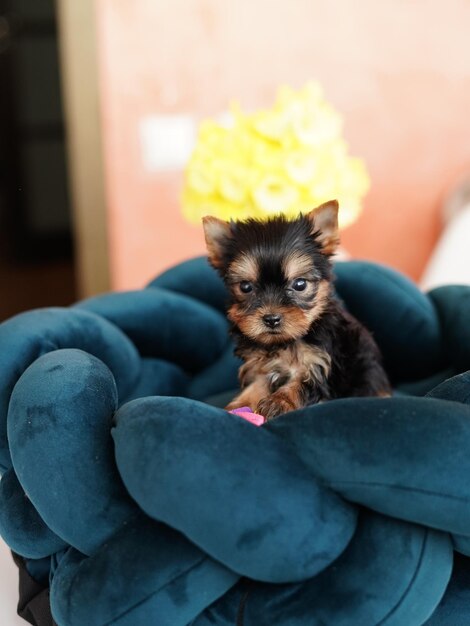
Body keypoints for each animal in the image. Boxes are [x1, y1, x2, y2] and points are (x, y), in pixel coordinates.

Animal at [204, 200, 392, 420]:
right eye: (245, 287)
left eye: (300, 284)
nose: (271, 319)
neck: (284, 343)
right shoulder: (260, 366)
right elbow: (255, 386)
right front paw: (239, 405)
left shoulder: (318, 364)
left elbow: (301, 385)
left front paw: (280, 401)